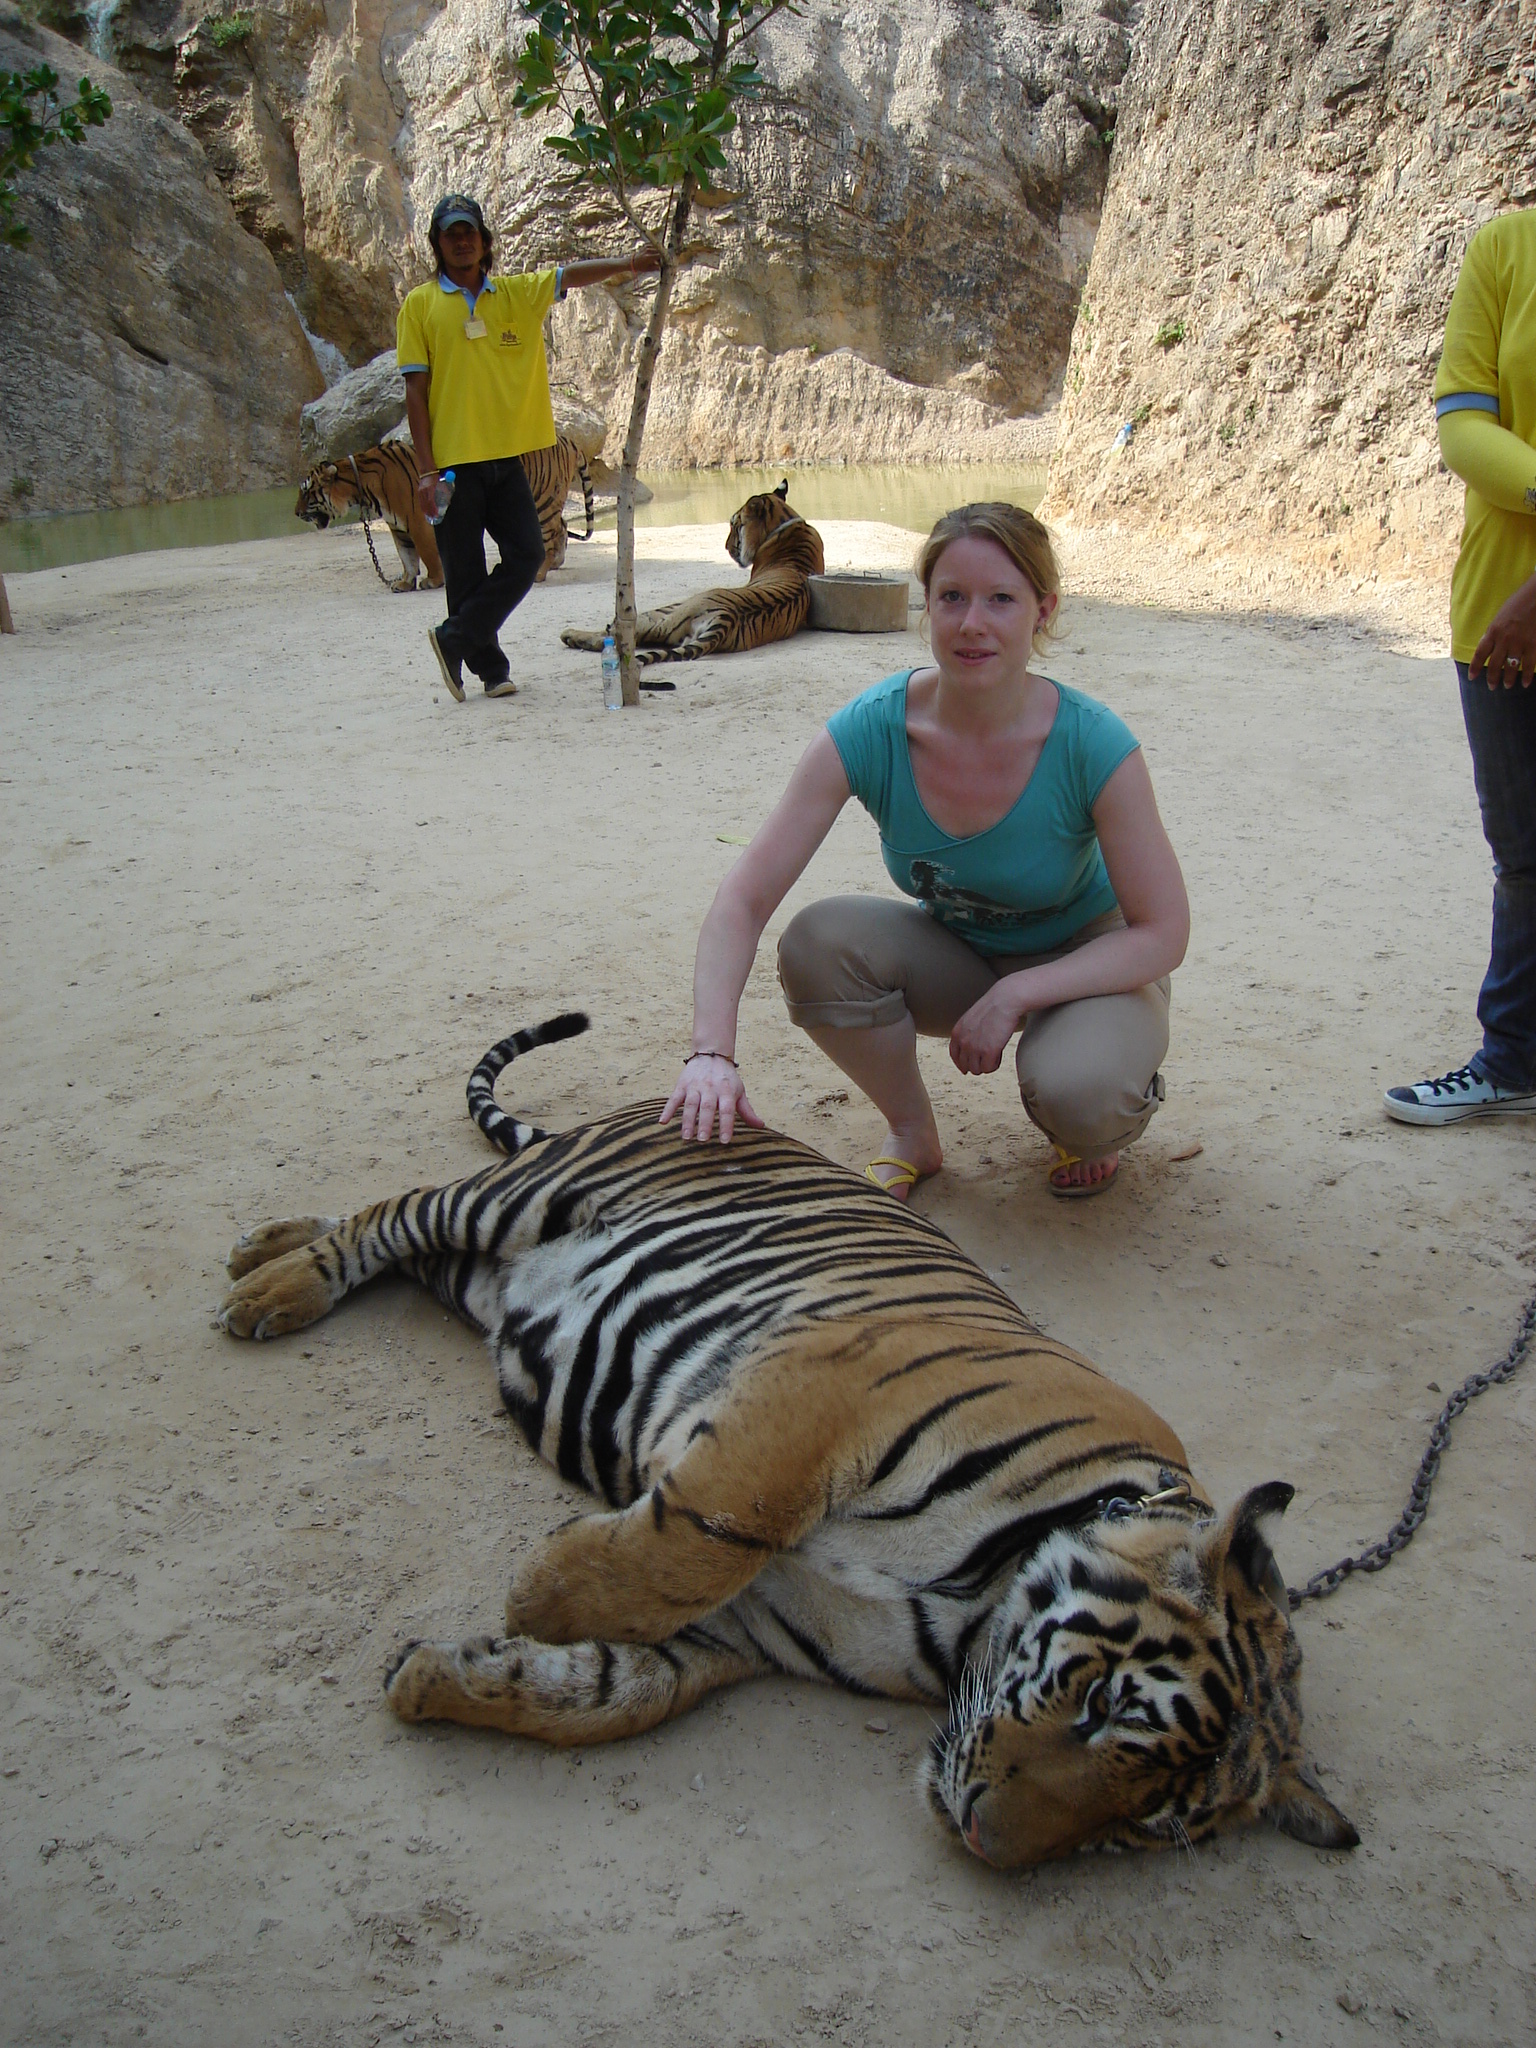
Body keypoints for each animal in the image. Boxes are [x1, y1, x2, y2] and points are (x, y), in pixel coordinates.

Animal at [219, 1011, 1359, 1875]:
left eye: (1146, 1821)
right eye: (1101, 1704)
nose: (984, 1840)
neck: (975, 1611)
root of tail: (660, 1104)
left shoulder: (750, 1628)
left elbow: (610, 1693)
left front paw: (442, 1672)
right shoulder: (820, 1391)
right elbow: (697, 1536)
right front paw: (536, 1592)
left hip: (487, 1281)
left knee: (402, 1243)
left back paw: (261, 1246)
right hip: (523, 1200)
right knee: (391, 1211)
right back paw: (270, 1288)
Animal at [296, 434, 598, 589]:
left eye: (306, 492)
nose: (296, 513)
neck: (361, 487)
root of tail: (568, 439)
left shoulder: (417, 521)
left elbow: (427, 554)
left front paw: (433, 581)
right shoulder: (397, 527)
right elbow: (407, 558)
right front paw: (404, 582)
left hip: (542, 501)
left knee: (550, 534)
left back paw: (540, 573)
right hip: (541, 501)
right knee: (561, 527)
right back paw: (555, 563)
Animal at [565, 481, 831, 667]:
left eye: (735, 524)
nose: (726, 546)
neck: (787, 522)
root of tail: (727, 617)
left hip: (673, 615)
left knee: (621, 636)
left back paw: (572, 634)